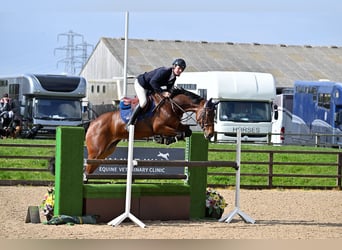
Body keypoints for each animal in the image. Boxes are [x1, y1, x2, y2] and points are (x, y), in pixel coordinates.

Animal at [84, 87, 216, 175]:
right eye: (208, 114)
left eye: (214, 114)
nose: (210, 134)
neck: (172, 105)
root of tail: (92, 123)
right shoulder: (159, 127)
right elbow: (178, 133)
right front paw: (166, 139)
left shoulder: (177, 125)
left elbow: (187, 131)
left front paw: (166, 139)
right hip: (96, 152)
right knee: (87, 167)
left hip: (106, 151)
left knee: (89, 168)